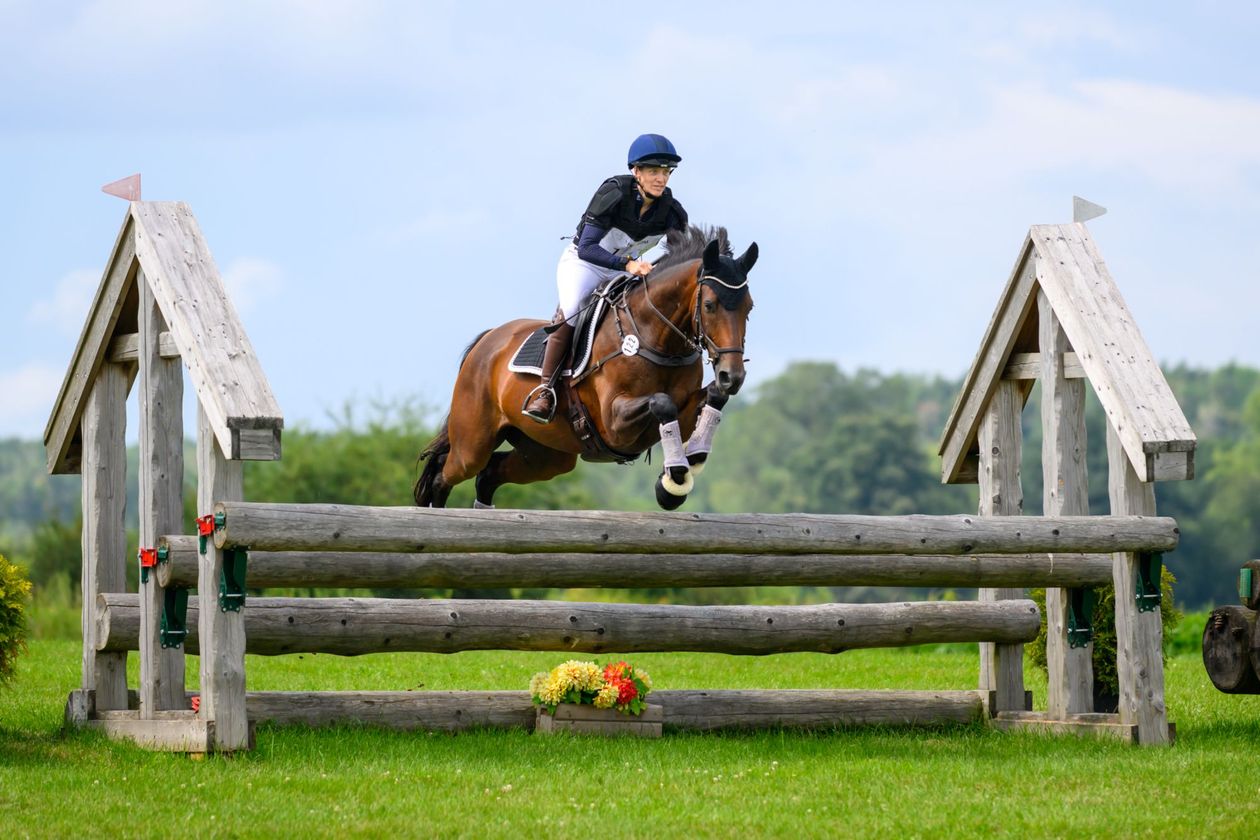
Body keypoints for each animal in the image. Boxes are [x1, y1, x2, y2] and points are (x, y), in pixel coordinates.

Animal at [413, 222, 750, 508]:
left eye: (749, 307)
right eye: (710, 305)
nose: (732, 376)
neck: (656, 337)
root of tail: (488, 341)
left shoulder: (683, 408)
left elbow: (712, 397)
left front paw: (692, 458)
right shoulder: (615, 422)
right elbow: (661, 401)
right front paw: (673, 483)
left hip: (546, 456)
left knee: (489, 474)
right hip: (473, 442)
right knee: (445, 473)